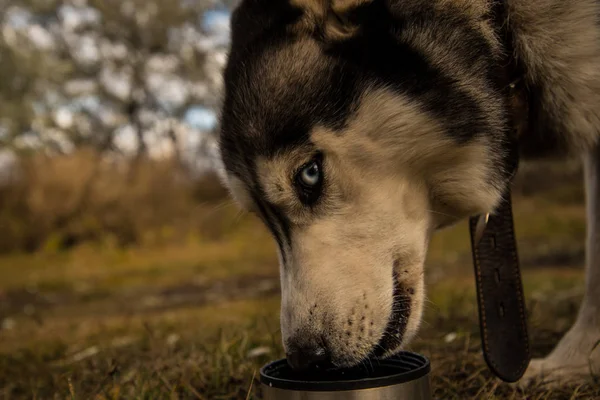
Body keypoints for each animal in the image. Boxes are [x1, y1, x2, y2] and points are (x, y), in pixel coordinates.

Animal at [218, 0, 600, 386]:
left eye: (309, 175)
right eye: (261, 216)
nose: (304, 359)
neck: (499, 28)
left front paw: (571, 360)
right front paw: (578, 362)